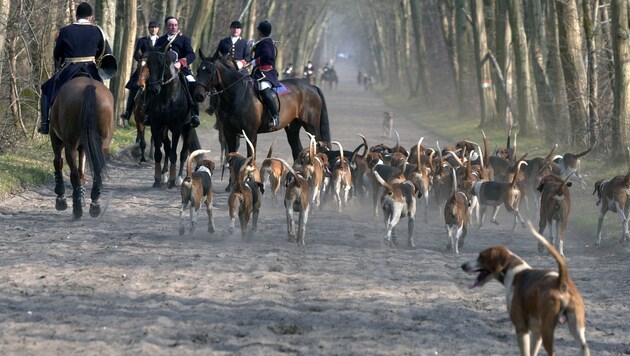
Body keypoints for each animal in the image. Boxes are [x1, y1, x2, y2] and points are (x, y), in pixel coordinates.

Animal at [49, 76, 115, 218]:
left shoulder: (56, 139)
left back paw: (77, 209)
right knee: (96, 171)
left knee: (72, 172)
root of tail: (89, 87)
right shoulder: (85, 147)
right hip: (102, 145)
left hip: (70, 145)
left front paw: (61, 199)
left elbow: (58, 162)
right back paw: (95, 205)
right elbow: (82, 170)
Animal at [194, 51, 334, 159]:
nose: (199, 95)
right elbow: (231, 157)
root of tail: (311, 87)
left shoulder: (250, 132)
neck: (237, 94)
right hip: (292, 127)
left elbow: (251, 156)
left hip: (311, 126)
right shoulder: (229, 132)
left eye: (209, 71)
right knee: (297, 149)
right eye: (198, 70)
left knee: (320, 147)